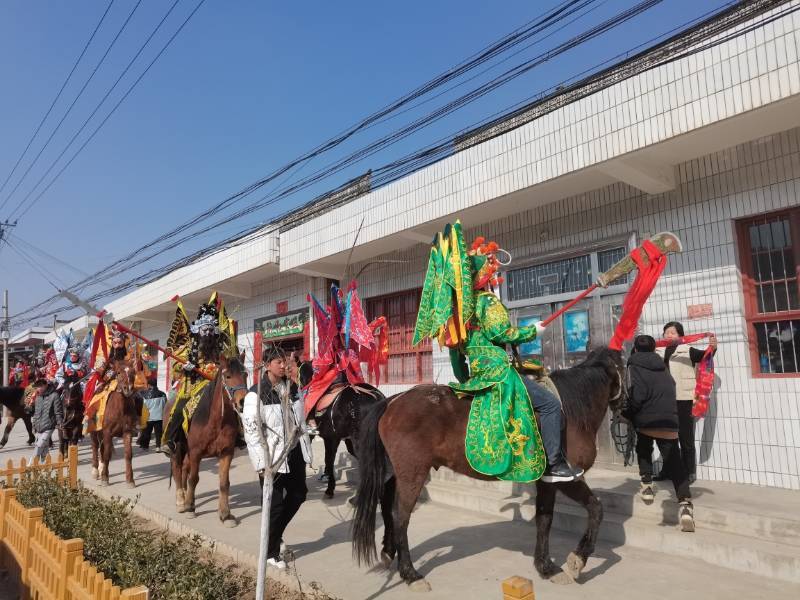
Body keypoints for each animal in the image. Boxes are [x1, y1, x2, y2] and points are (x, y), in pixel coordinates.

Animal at [170, 354, 252, 528]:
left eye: (245, 374)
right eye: (228, 376)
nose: (242, 402)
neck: (216, 421)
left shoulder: (226, 453)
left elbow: (224, 483)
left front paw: (225, 514)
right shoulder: (196, 452)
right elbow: (194, 479)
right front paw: (190, 508)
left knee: (184, 468)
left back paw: (185, 496)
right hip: (178, 448)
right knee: (178, 468)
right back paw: (181, 501)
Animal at [354, 346, 624, 592]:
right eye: (627, 364)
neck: (568, 410)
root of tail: (393, 401)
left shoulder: (547, 479)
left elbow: (546, 519)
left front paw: (546, 567)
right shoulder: (565, 476)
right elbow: (595, 509)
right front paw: (577, 559)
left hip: (394, 472)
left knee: (386, 506)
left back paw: (389, 552)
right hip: (413, 473)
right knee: (401, 516)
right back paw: (411, 574)